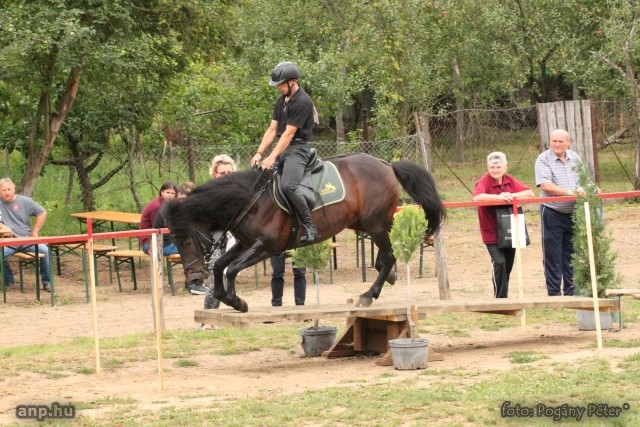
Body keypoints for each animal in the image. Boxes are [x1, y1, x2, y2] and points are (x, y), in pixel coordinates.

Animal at [165, 152, 444, 312]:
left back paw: (369, 294)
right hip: (364, 223)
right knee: (389, 250)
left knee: (389, 254)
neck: (249, 200)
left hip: (374, 223)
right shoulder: (245, 244)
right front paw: (226, 297)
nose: (193, 277)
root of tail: (387, 165)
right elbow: (220, 265)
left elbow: (231, 268)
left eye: (187, 240)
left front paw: (236, 301)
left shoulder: (265, 246)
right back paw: (389, 275)